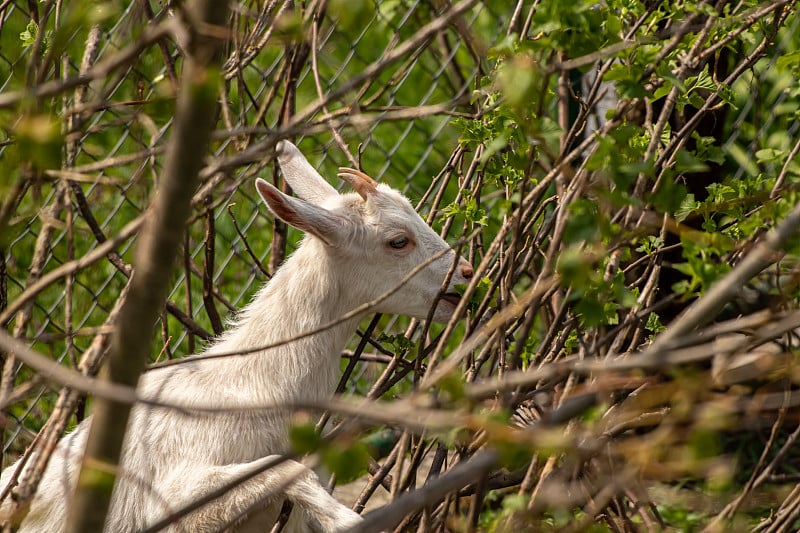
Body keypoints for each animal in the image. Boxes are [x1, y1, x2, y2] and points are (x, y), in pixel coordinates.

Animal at [0, 139, 476, 528]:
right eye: (398, 241)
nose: (467, 275)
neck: (253, 385)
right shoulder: (169, 496)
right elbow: (283, 469)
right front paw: (345, 518)